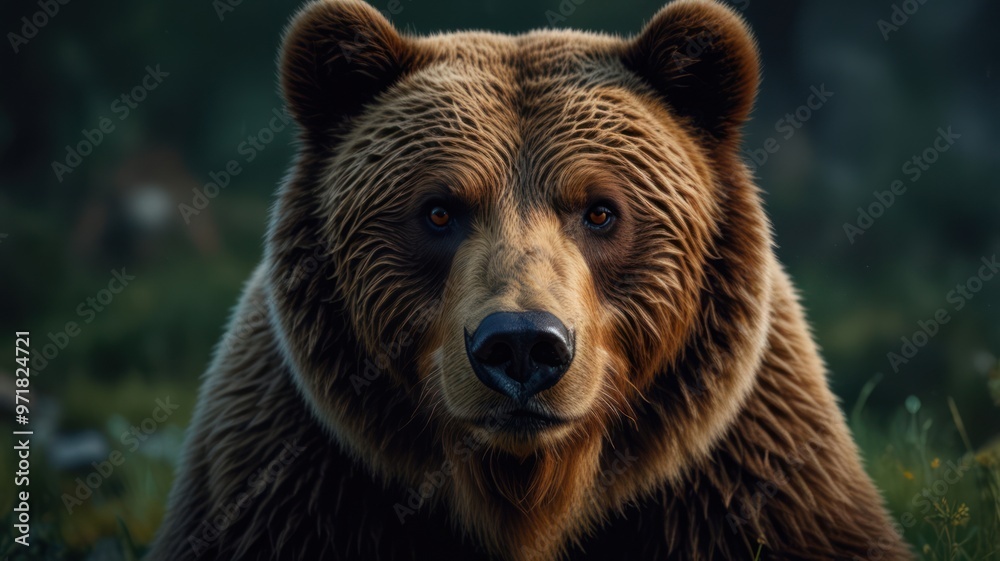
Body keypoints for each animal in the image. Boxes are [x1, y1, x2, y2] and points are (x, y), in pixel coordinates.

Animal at [148, 0, 912, 559]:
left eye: (601, 210)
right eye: (438, 209)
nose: (520, 344)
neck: (531, 491)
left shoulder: (743, 477)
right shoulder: (293, 484)